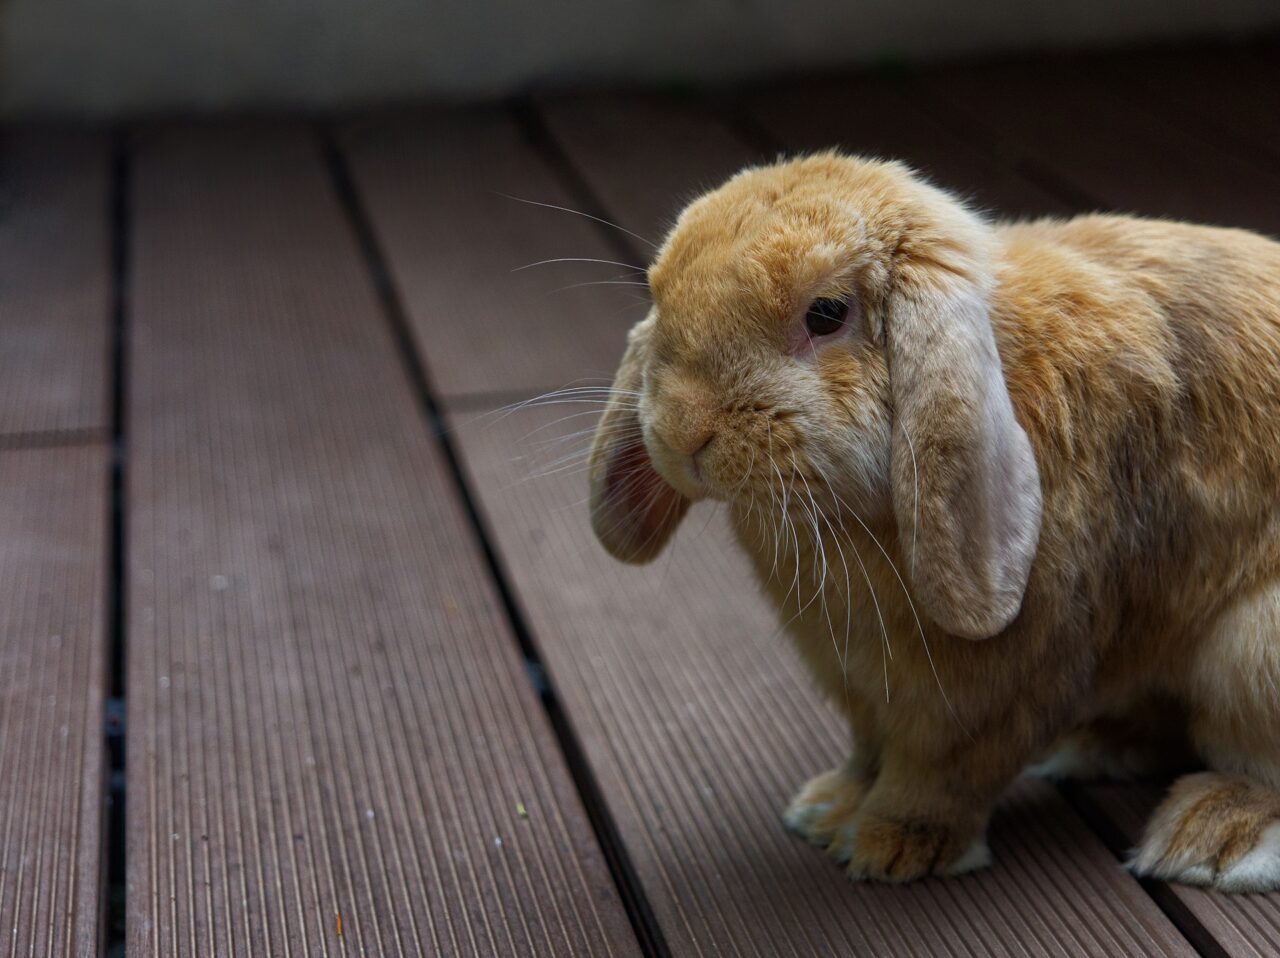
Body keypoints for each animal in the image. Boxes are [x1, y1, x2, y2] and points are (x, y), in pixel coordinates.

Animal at [586, 149, 1280, 891]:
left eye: (826, 314)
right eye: (659, 295)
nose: (681, 431)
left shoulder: (996, 683)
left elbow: (944, 770)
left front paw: (893, 846)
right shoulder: (856, 679)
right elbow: (868, 749)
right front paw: (828, 808)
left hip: (1249, 651)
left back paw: (1211, 836)